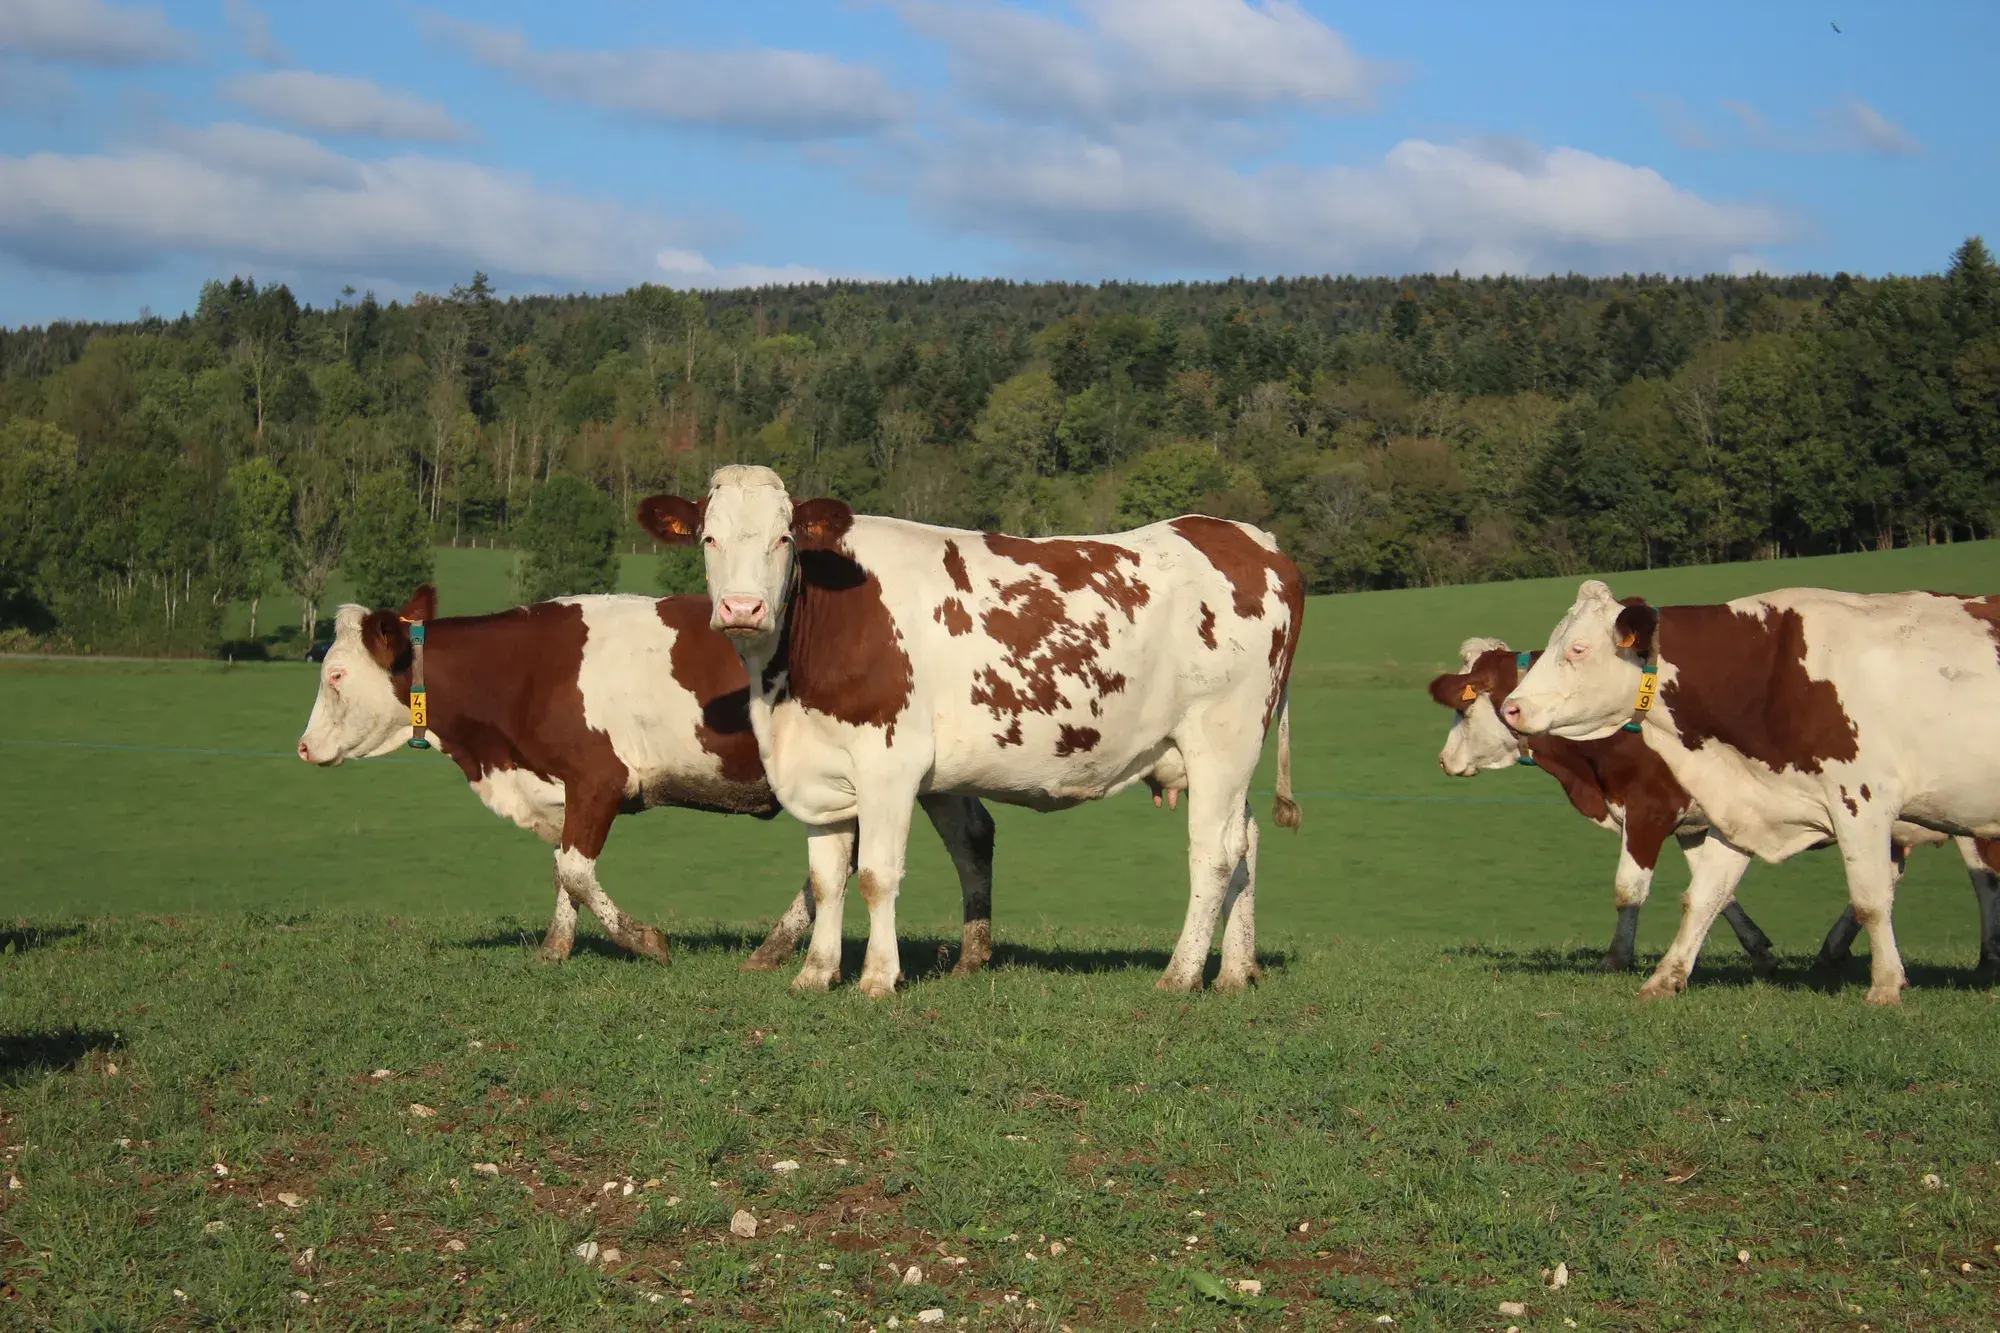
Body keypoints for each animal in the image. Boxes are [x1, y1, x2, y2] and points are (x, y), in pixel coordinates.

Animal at [295, 585, 1000, 972]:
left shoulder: (598, 777)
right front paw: (555, 948)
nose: (303, 747)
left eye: (335, 675)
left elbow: (577, 869)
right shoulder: (563, 787)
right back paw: (967, 953)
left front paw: (646, 941)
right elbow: (563, 869)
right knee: (970, 835)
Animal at [636, 464, 1303, 998]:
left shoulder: (890, 762)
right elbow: (827, 881)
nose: (742, 609)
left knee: (1213, 852)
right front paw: (815, 975)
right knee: (1245, 842)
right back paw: (1234, 972)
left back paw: (1181, 974)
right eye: (709, 538)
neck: (786, 687)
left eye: (784, 538)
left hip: (1222, 735)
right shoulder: (818, 767)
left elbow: (876, 875)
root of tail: (1252, 538)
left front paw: (878, 977)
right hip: (1219, 753)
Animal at [1502, 580, 2000, 1002]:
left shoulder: (1861, 800)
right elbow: (1704, 895)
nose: (1511, 708)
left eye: (1577, 648)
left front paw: (1885, 986)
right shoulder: (1740, 805)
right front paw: (1665, 978)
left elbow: (1871, 899)